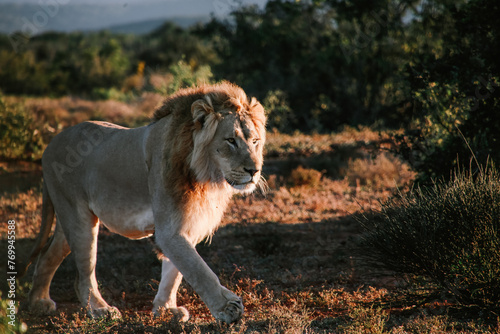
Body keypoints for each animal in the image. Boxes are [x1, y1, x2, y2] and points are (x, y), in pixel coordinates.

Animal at [20, 81, 266, 324]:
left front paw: (166, 309)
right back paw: (101, 310)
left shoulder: (188, 225)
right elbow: (198, 270)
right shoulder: (169, 230)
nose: (254, 171)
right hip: (78, 218)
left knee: (47, 255)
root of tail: (50, 144)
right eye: (231, 141)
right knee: (83, 274)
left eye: (255, 141)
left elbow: (174, 273)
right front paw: (227, 307)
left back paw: (38, 303)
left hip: (67, 220)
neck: (205, 177)